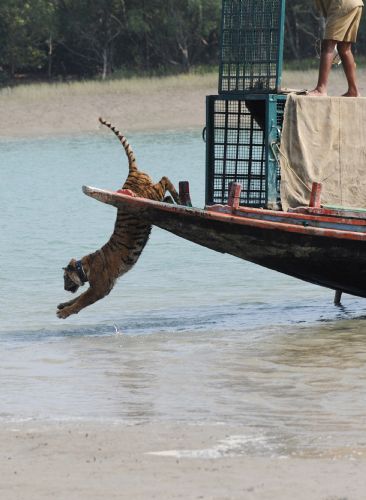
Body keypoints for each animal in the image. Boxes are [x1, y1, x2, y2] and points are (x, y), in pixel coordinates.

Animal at [56, 118, 180, 320]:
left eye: (65, 278)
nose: (65, 289)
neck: (84, 268)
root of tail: (131, 174)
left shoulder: (99, 289)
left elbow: (81, 301)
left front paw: (64, 312)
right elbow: (78, 298)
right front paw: (62, 304)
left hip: (152, 192)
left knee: (165, 179)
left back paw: (178, 197)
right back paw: (173, 200)